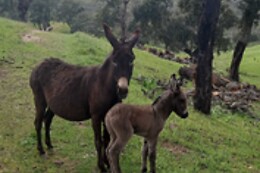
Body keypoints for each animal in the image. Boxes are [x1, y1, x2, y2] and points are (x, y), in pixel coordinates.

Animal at [30, 24, 140, 172]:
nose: (122, 90)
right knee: (38, 122)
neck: (104, 85)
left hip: (53, 104)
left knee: (47, 121)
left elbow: (106, 141)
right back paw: (41, 150)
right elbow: (98, 141)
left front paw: (107, 163)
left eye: (131, 60)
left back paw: (49, 146)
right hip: (40, 99)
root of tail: (40, 64)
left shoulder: (107, 116)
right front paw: (101, 166)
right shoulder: (96, 116)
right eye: (114, 61)